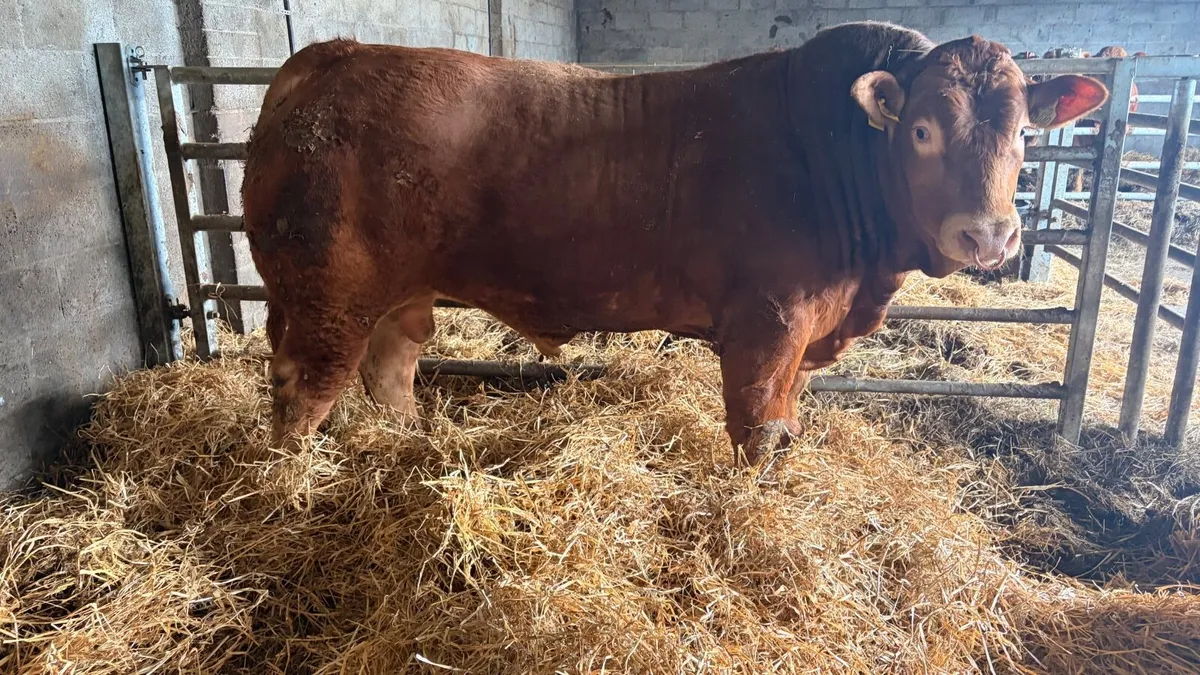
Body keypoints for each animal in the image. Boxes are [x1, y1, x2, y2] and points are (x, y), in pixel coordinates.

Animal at [242, 21, 1108, 465]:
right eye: (923, 129)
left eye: (1025, 133)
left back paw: (407, 447)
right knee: (304, 388)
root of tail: (335, 55)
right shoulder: (768, 323)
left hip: (400, 291)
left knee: (389, 369)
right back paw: (289, 490)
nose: (988, 232)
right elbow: (758, 427)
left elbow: (786, 421)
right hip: (328, 294)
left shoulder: (804, 335)